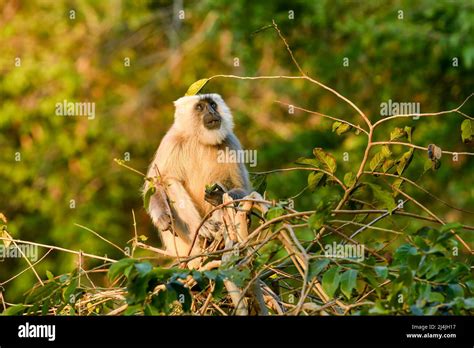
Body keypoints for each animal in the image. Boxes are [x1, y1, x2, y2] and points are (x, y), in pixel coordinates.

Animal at [143, 92, 252, 266]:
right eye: (200, 107)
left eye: (212, 104)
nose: (212, 112)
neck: (200, 140)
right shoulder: (171, 141)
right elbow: (155, 185)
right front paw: (162, 217)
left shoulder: (230, 141)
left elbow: (242, 188)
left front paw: (218, 195)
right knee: (170, 181)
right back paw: (201, 230)